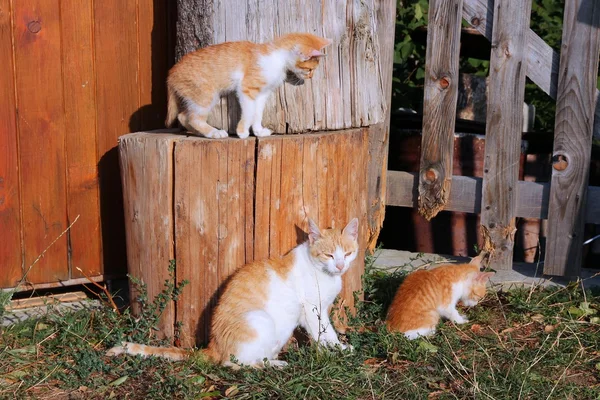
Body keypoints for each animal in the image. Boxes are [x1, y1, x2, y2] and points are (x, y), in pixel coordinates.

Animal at [108, 217, 358, 368]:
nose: (340, 266)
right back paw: (274, 364)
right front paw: (333, 352)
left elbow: (327, 332)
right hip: (260, 319)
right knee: (233, 363)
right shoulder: (311, 309)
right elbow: (323, 334)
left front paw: (337, 349)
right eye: (328, 255)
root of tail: (212, 346)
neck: (326, 274)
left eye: (347, 254)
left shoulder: (322, 309)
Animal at [166, 31, 330, 138]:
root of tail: (171, 73)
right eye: (310, 69)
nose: (311, 77)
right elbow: (250, 111)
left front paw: (258, 131)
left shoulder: (262, 94)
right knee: (194, 118)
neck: (278, 57)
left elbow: (258, 113)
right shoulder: (246, 89)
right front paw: (242, 131)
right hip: (206, 95)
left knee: (183, 116)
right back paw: (213, 132)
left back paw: (199, 133)